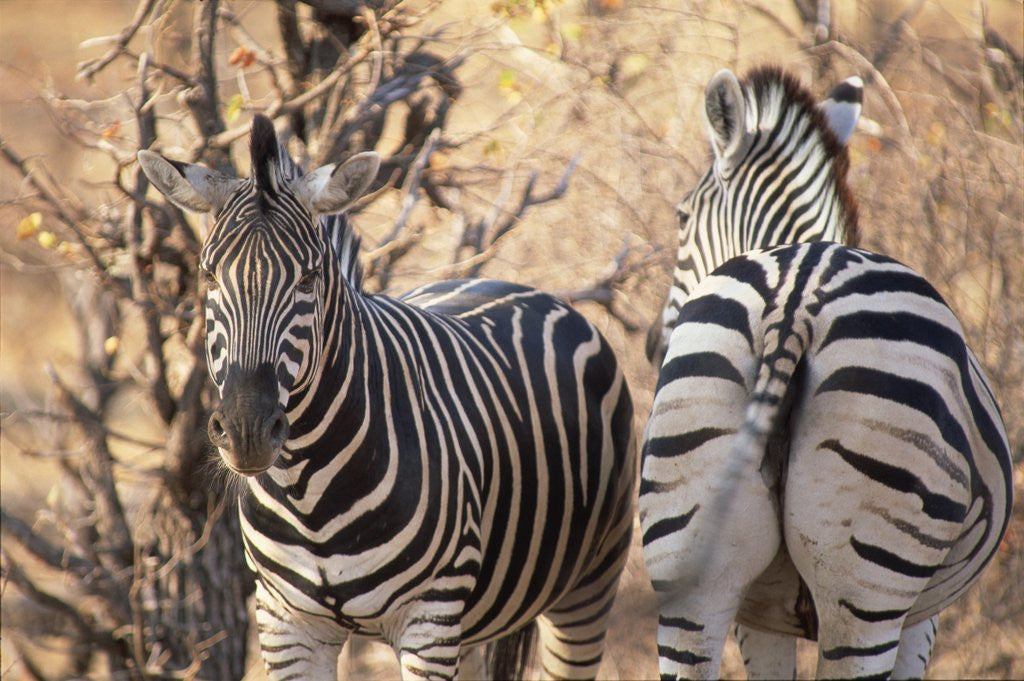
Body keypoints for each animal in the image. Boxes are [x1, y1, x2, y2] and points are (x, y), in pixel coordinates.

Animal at [137, 115, 636, 680]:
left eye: (309, 278)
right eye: (208, 275)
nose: (246, 430)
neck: (308, 493)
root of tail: (518, 286)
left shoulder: (430, 618)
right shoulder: (286, 624)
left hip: (589, 584)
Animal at [639, 66, 1013, 680]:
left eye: (680, 216)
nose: (652, 344)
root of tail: (795, 296)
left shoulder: (757, 616)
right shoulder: (922, 619)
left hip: (690, 571)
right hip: (869, 581)